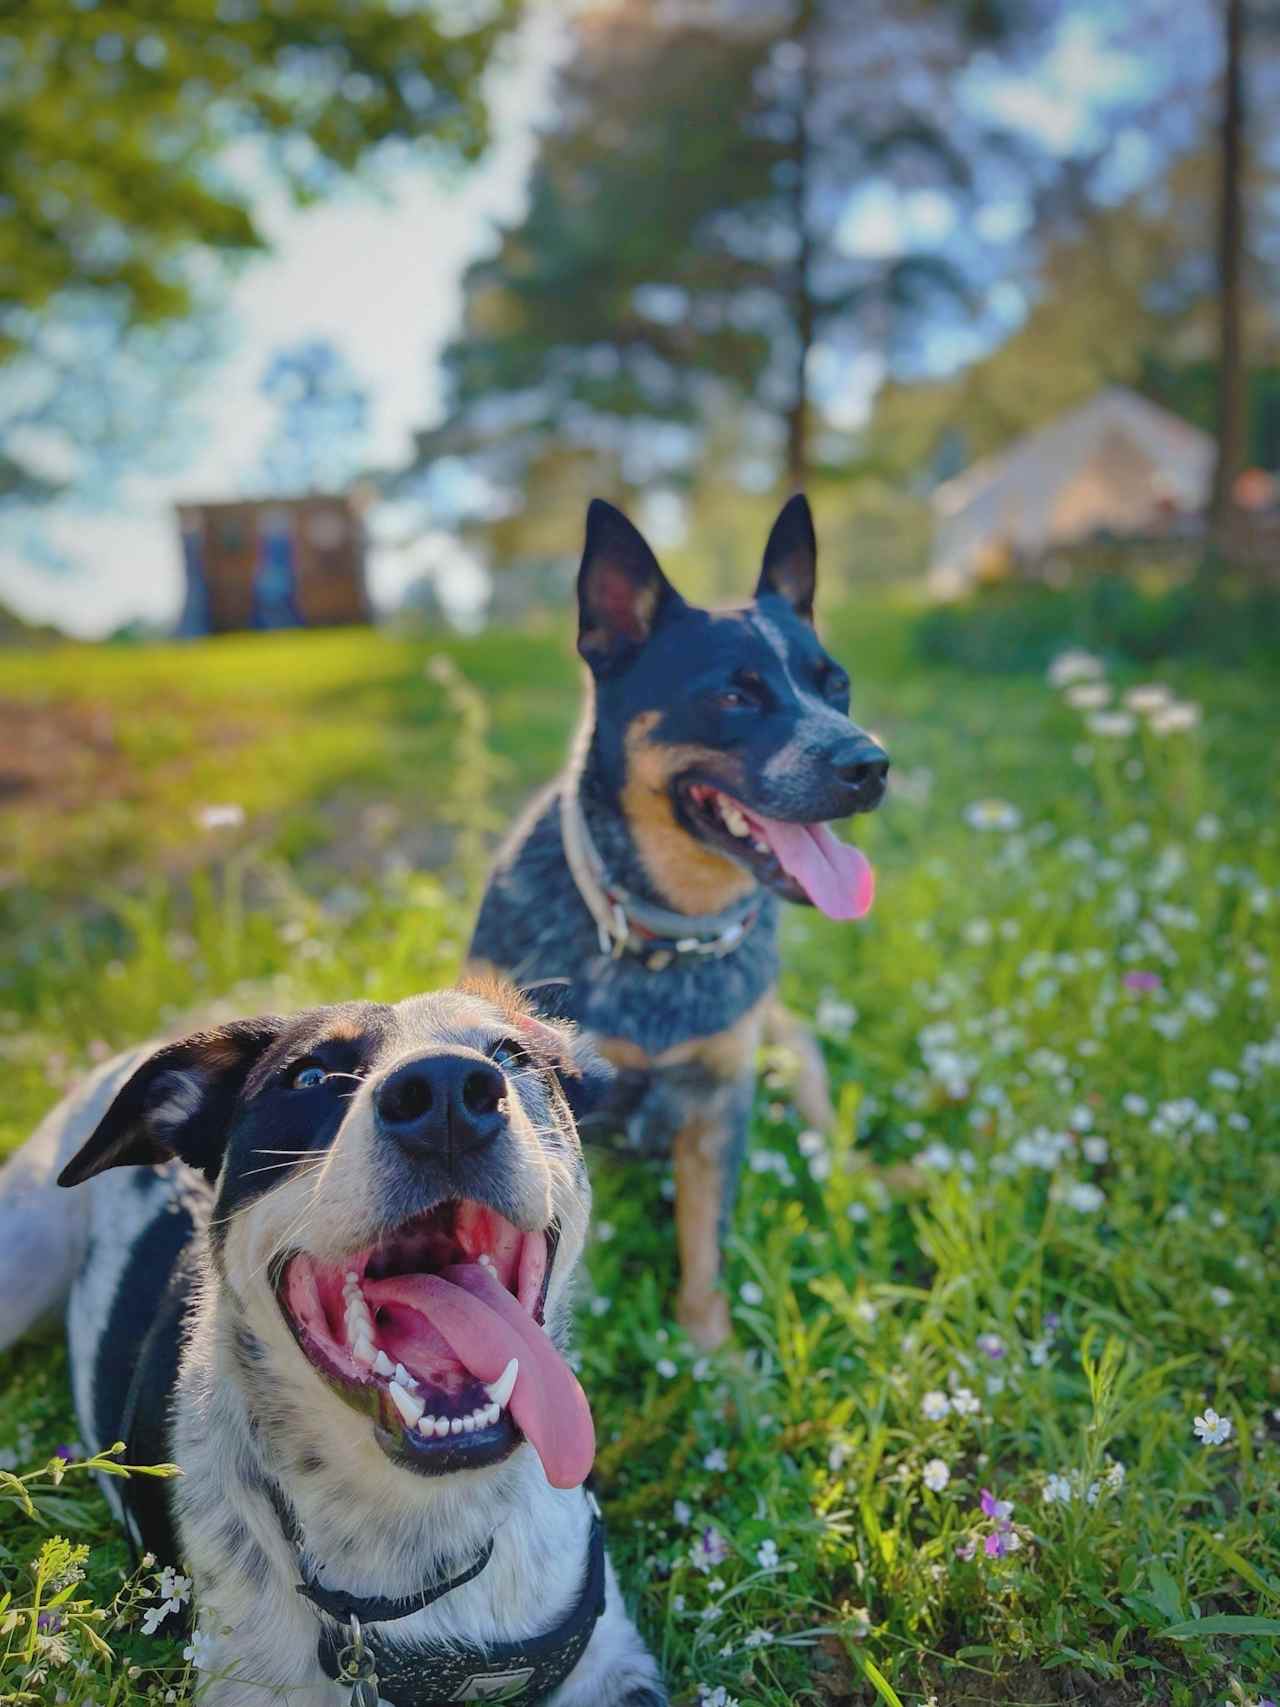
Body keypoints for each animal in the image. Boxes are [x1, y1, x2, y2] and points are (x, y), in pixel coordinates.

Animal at [471, 491, 894, 1345]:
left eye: (836, 685)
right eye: (735, 694)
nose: (870, 763)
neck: (663, 934)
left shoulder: (719, 1103)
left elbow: (706, 1249)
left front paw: (710, 1351)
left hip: (794, 1050)